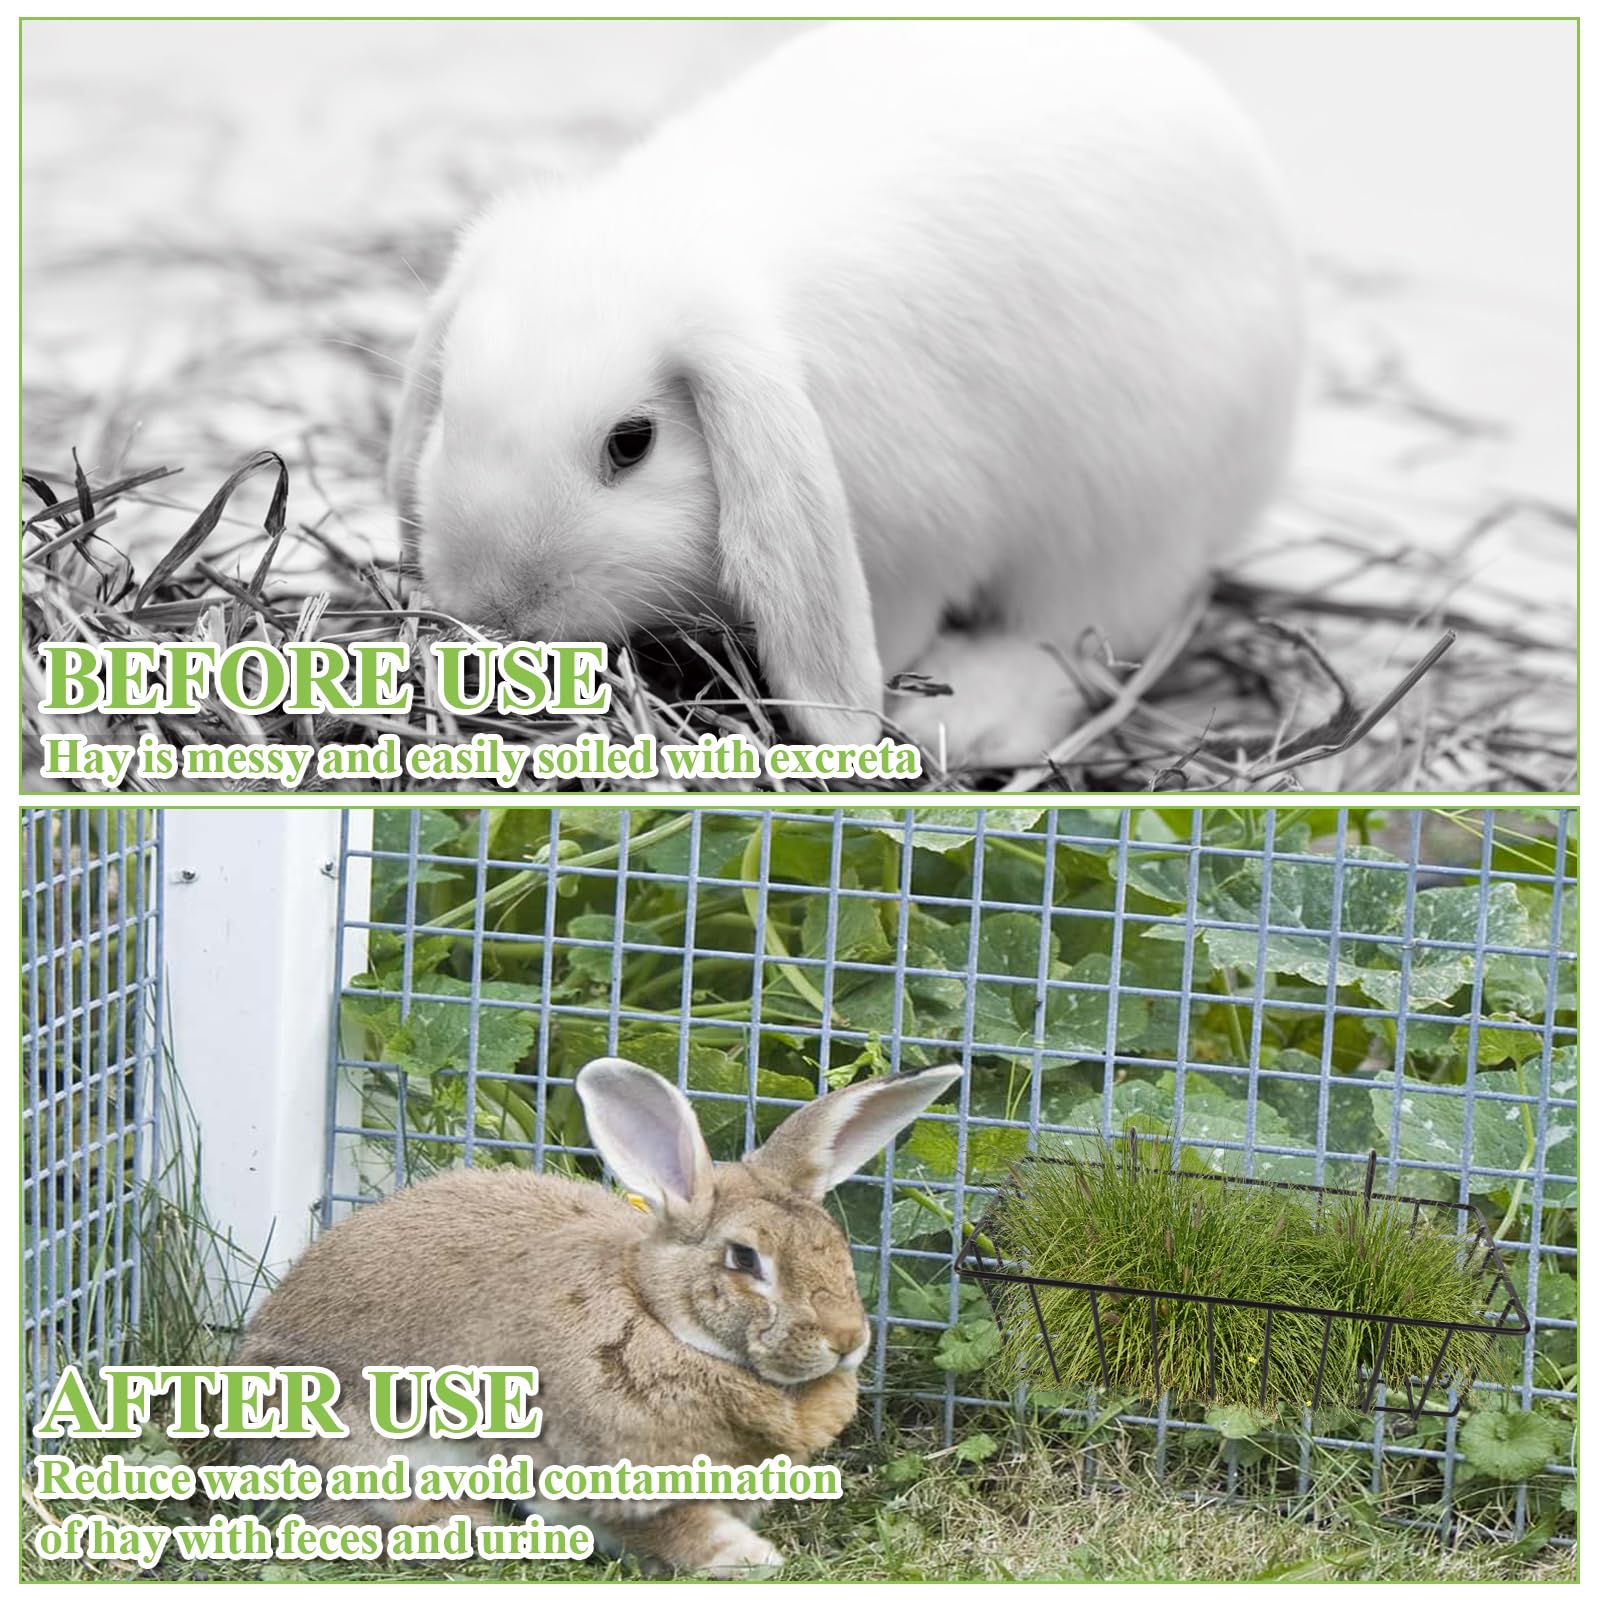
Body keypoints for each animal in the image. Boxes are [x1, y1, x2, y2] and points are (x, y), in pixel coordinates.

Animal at [234, 1057, 962, 1574]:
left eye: (835, 1244)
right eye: (745, 1258)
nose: (846, 1340)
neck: (661, 1321)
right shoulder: (582, 1470)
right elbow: (663, 1524)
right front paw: (746, 1557)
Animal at [387, 20, 1304, 770]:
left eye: (632, 442)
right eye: (451, 414)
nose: (498, 608)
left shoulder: (917, 548)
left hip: (1130, 516)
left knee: (1077, 638)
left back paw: (970, 718)